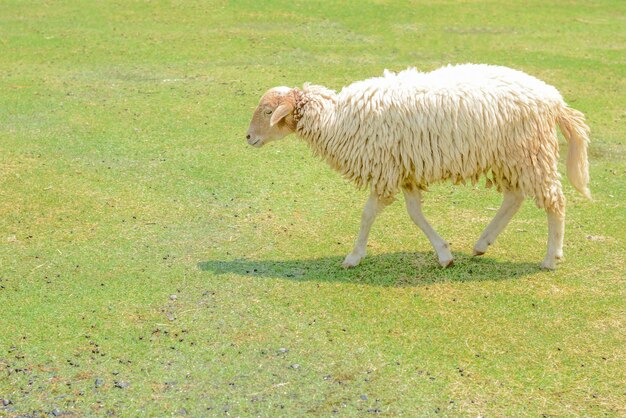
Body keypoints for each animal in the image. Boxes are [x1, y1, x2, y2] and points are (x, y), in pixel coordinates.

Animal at [245, 63, 588, 270]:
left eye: (268, 111)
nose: (247, 137)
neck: (337, 120)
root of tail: (554, 99)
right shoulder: (406, 169)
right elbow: (415, 214)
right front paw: (444, 253)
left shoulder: (385, 169)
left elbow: (368, 214)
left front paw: (353, 257)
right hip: (512, 157)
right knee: (514, 197)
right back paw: (482, 243)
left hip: (532, 153)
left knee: (555, 202)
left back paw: (551, 257)